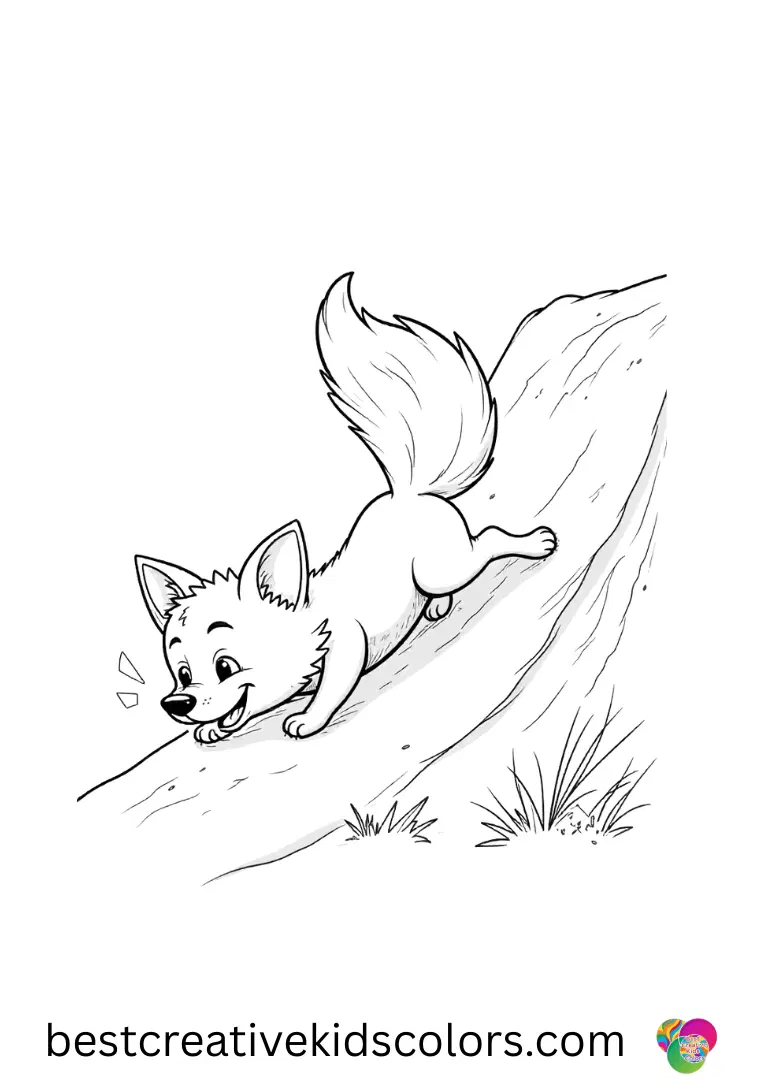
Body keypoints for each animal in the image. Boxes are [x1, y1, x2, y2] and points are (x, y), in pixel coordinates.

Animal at [135, 273, 557, 744]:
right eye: (182, 674)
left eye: (225, 666)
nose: (176, 704)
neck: (309, 616)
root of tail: (409, 492)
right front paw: (212, 729)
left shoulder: (348, 642)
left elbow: (330, 689)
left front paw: (306, 721)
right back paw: (436, 606)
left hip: (442, 564)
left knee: (485, 542)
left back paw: (536, 543)